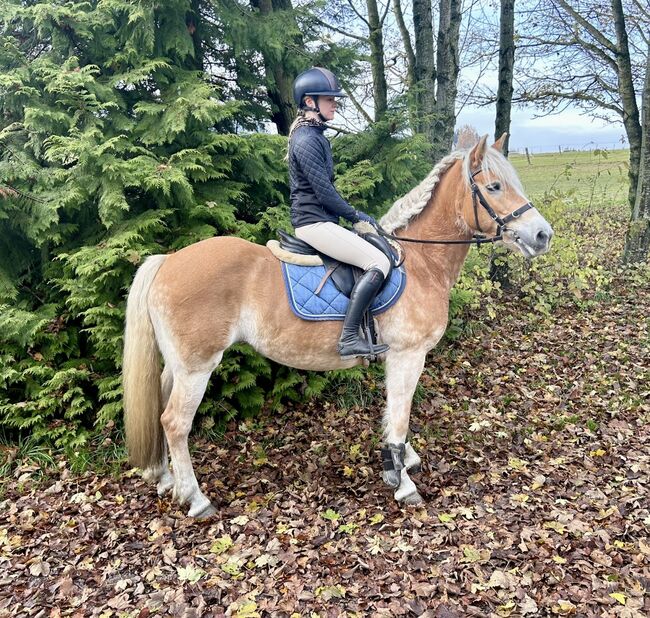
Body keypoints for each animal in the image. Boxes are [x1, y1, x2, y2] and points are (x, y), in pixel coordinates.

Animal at [121, 135, 552, 516]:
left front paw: (402, 460)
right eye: (494, 186)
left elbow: (394, 412)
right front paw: (403, 482)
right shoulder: (408, 355)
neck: (421, 262)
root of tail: (167, 260)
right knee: (175, 422)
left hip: (178, 365)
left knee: (159, 405)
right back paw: (196, 499)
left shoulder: (397, 358)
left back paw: (165, 479)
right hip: (197, 367)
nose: (542, 234)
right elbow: (400, 414)